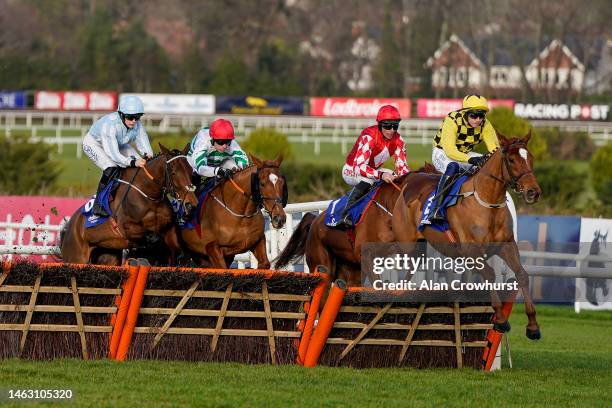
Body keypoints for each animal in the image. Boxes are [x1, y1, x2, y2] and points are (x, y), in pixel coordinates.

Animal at [59, 143, 196, 264]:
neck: (150, 196)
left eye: (191, 171)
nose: (191, 204)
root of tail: (70, 226)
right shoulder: (126, 228)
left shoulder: (169, 228)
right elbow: (154, 238)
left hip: (108, 255)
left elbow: (177, 248)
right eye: (173, 171)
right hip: (76, 257)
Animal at [390, 130, 544, 338]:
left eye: (531, 158)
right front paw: (500, 320)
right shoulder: (471, 251)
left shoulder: (506, 245)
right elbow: (489, 274)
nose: (533, 192)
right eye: (511, 160)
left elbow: (522, 275)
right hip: (406, 241)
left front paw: (533, 326)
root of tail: (409, 181)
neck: (487, 202)